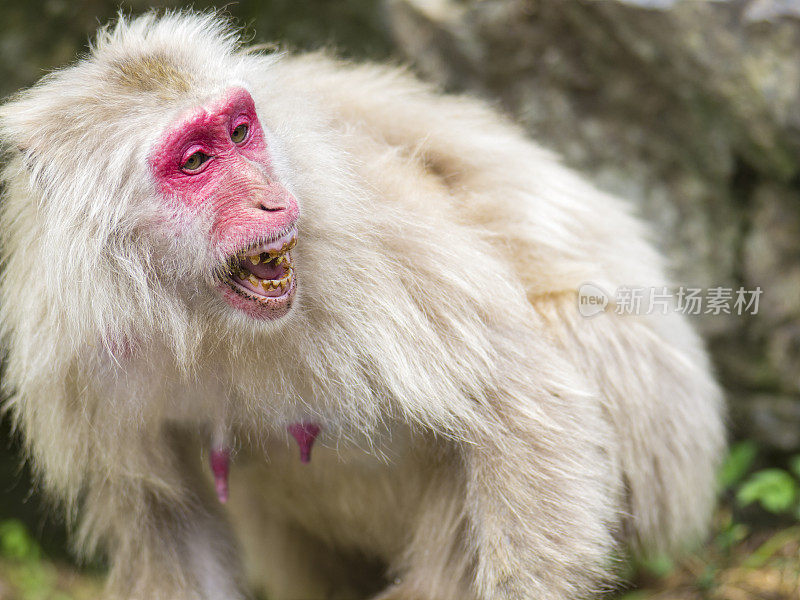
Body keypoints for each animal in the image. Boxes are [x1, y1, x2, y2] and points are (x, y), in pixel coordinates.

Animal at [0, 10, 724, 600]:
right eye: (196, 160)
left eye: (240, 132)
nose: (271, 200)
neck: (201, 313)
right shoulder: (79, 353)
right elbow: (165, 518)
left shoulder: (372, 246)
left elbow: (522, 402)